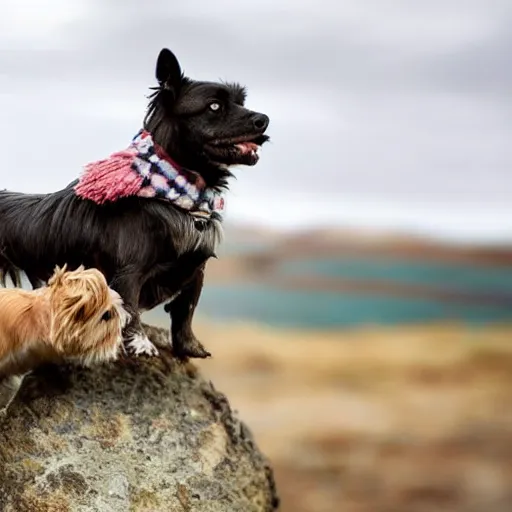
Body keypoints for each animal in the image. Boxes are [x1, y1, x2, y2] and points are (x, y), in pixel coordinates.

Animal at [0, 49, 270, 360]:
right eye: (214, 106)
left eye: (241, 102)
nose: (264, 120)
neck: (174, 193)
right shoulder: (128, 272)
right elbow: (129, 310)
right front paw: (140, 345)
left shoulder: (196, 270)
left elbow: (185, 310)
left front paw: (189, 346)